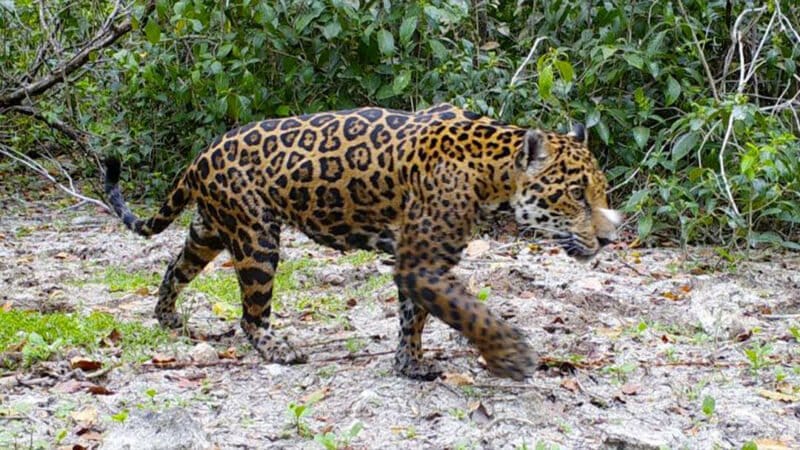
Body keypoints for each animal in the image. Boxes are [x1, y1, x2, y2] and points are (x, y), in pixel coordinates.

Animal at [103, 103, 621, 381]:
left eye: (599, 192)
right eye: (577, 194)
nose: (609, 237)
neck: (493, 172)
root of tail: (202, 154)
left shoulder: (419, 261)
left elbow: (415, 316)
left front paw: (409, 364)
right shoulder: (420, 263)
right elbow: (470, 311)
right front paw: (510, 356)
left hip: (211, 229)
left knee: (175, 266)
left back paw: (166, 316)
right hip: (256, 237)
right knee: (250, 315)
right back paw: (277, 348)